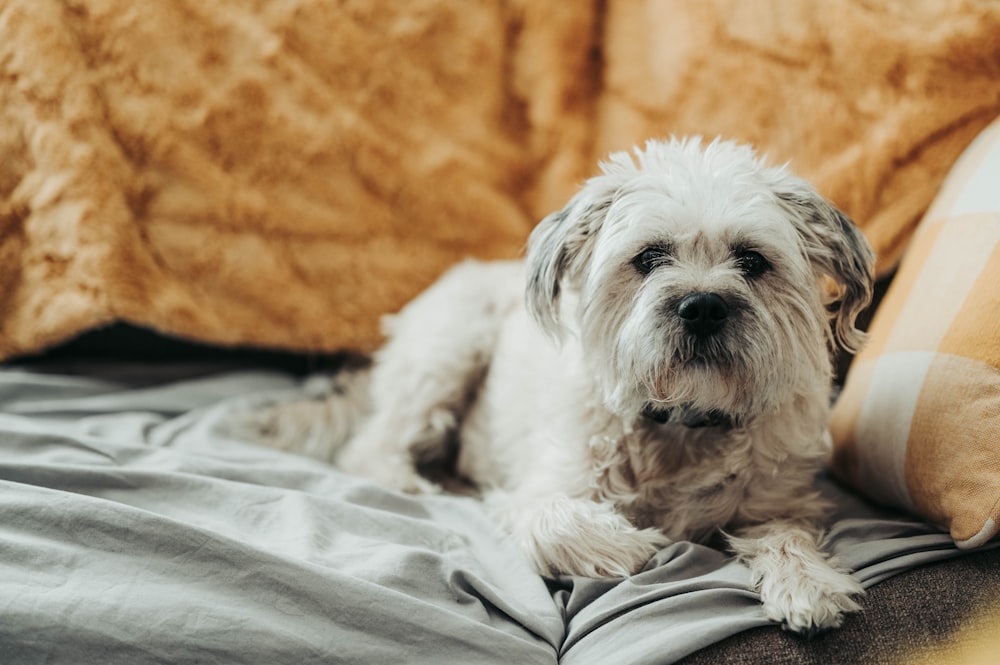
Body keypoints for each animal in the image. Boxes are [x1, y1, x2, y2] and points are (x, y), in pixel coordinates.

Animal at [248, 135, 876, 632]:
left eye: (752, 261)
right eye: (649, 257)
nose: (702, 306)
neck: (681, 422)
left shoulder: (780, 501)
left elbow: (785, 534)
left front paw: (808, 583)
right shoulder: (536, 492)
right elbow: (560, 521)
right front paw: (635, 544)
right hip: (450, 346)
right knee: (370, 446)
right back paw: (411, 482)